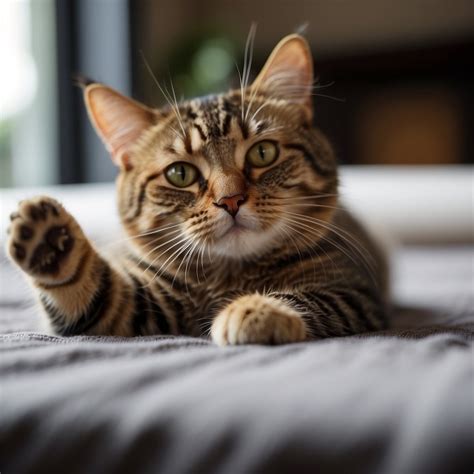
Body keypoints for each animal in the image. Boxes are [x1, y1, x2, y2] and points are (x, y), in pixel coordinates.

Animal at [5, 33, 386, 344]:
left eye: (263, 153)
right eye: (180, 174)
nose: (231, 199)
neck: (230, 279)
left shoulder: (352, 290)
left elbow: (306, 299)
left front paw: (255, 310)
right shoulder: (141, 305)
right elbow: (94, 292)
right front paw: (49, 240)